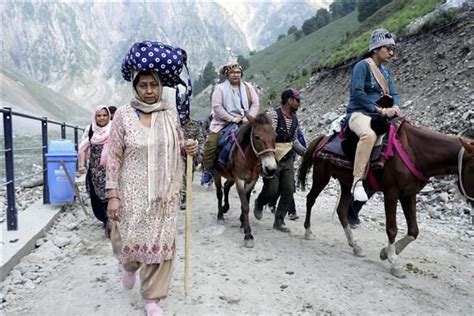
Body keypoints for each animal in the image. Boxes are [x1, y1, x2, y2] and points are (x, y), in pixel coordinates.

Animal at [212, 113, 276, 249]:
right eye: (257, 137)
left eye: (275, 136)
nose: (271, 169)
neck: (250, 160)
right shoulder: (240, 180)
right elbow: (245, 206)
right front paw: (248, 235)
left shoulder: (252, 181)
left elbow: (246, 201)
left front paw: (242, 223)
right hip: (216, 172)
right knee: (219, 193)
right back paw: (220, 215)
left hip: (231, 177)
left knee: (226, 187)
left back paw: (225, 208)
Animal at [298, 121, 472, 276]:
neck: (414, 152)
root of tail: (323, 139)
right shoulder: (391, 193)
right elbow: (392, 228)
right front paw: (393, 261)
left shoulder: (409, 194)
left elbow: (414, 230)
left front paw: (385, 253)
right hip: (321, 176)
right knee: (310, 199)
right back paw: (308, 231)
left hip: (346, 183)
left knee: (341, 210)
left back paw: (355, 246)